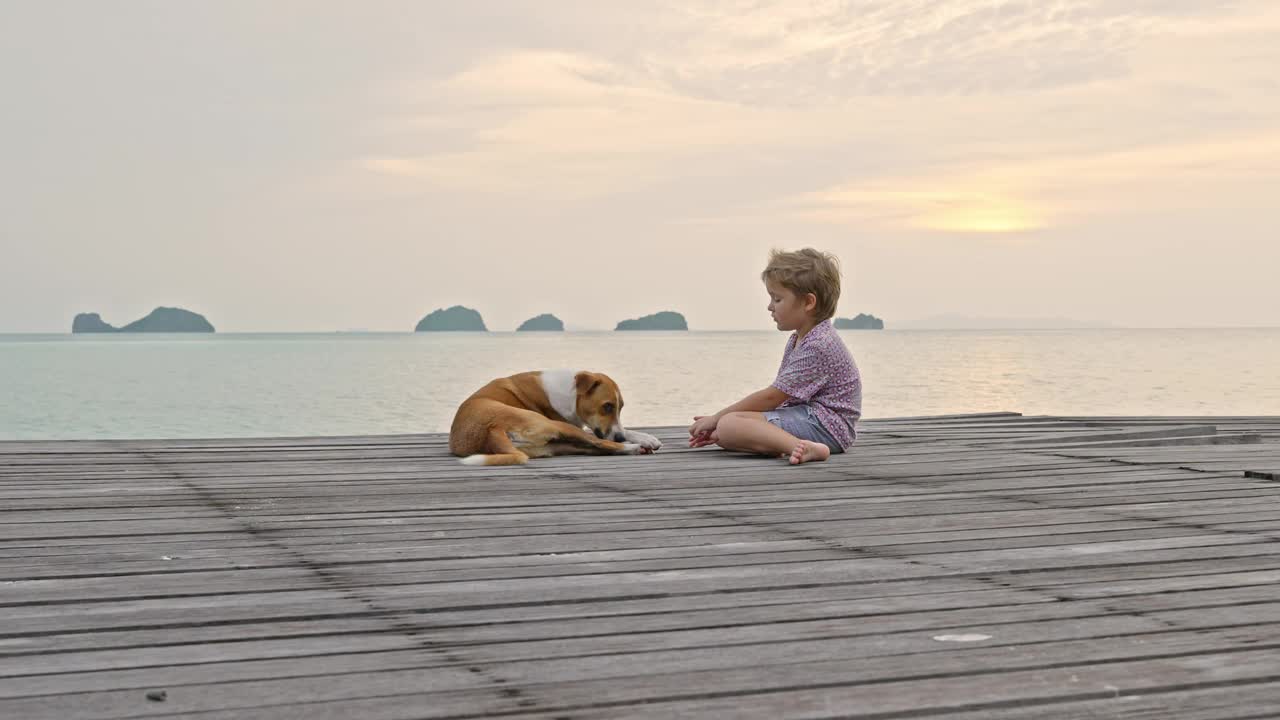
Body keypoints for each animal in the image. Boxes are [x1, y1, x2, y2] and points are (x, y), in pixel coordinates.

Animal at [450, 368, 665, 466]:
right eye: (607, 406)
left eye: (620, 407)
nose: (619, 437)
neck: (571, 392)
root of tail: (491, 430)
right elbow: (608, 434)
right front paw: (640, 439)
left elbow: (621, 429)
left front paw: (647, 437)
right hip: (557, 427)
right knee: (602, 443)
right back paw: (634, 447)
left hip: (556, 444)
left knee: (598, 446)